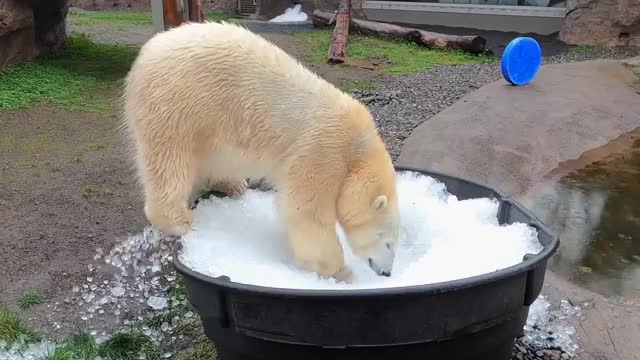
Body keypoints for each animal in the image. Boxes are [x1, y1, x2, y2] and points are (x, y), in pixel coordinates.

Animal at [122, 21, 398, 280]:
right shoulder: (321, 151)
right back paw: (178, 220)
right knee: (169, 160)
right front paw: (340, 271)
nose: (387, 272)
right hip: (176, 104)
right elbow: (305, 212)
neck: (359, 148)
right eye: (387, 242)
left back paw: (233, 184)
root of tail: (145, 54)